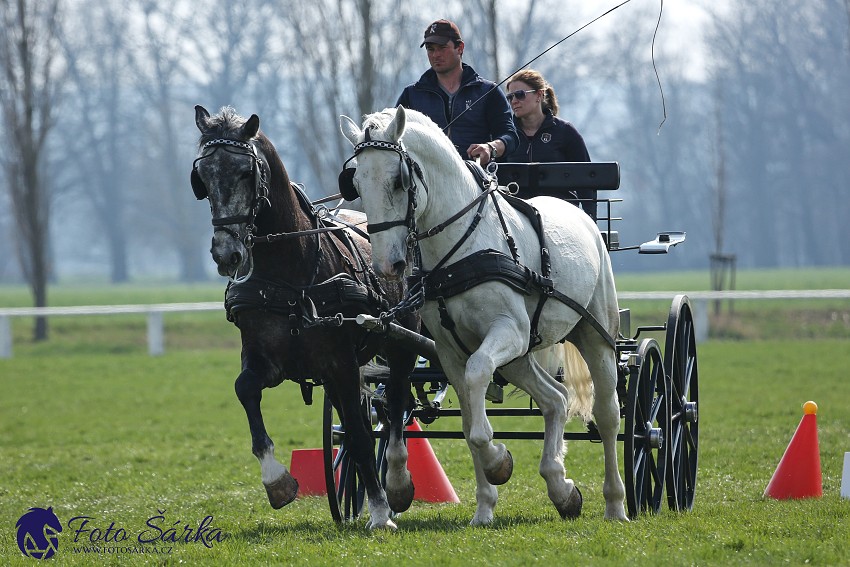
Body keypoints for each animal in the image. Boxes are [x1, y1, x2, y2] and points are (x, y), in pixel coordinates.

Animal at [342, 106, 628, 524]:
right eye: (357, 184)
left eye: (399, 180)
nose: (387, 265)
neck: (463, 246)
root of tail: (582, 216)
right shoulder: (452, 351)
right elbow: (468, 421)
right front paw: (484, 505)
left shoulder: (507, 332)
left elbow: (478, 392)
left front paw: (497, 461)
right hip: (520, 358)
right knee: (555, 399)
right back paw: (561, 487)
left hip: (595, 337)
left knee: (607, 415)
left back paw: (615, 504)